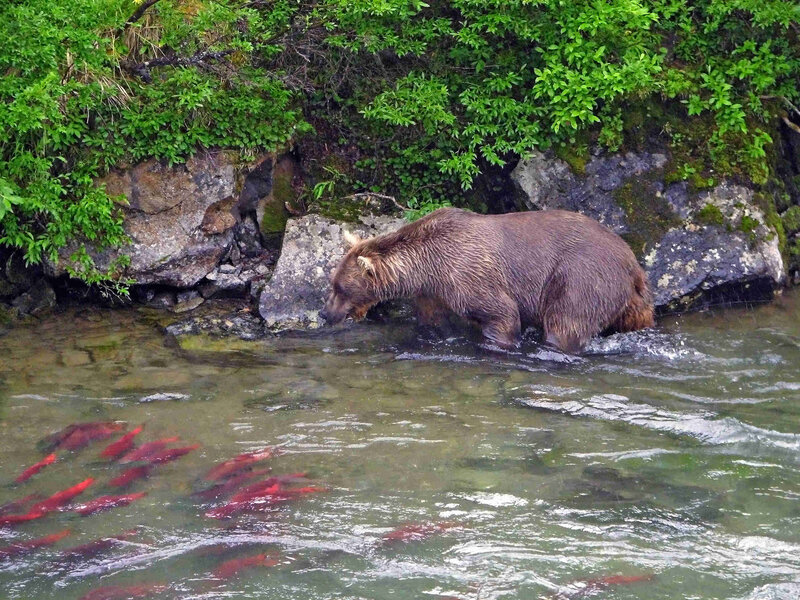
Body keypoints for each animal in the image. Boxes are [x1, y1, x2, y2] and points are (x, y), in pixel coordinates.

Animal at [320, 207, 654, 353]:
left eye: (340, 287)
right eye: (332, 283)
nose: (325, 313)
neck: (427, 266)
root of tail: (632, 263)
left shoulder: (468, 274)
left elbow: (501, 313)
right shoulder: (433, 291)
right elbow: (432, 321)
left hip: (580, 276)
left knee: (566, 320)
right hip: (632, 300)